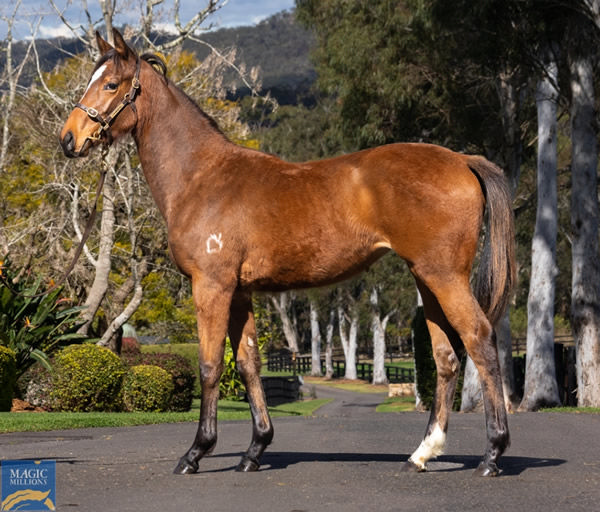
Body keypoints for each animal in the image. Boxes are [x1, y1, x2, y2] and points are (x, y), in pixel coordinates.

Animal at [58, 30, 516, 478]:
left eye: (110, 84)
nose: (69, 139)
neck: (202, 177)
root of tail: (461, 160)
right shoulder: (240, 293)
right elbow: (248, 364)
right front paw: (254, 450)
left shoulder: (212, 287)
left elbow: (210, 365)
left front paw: (196, 452)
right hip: (426, 278)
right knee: (446, 357)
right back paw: (423, 452)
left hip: (445, 276)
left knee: (479, 340)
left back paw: (492, 455)